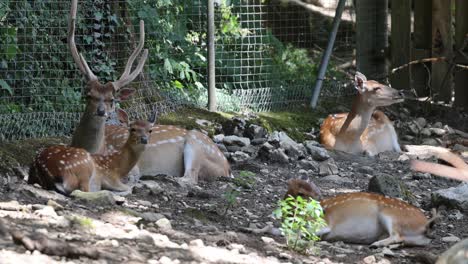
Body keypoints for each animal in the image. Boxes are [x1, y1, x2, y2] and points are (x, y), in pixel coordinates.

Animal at [28, 114, 156, 195]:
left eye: (150, 130)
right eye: (133, 129)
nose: (144, 139)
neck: (117, 167)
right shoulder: (110, 178)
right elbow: (129, 188)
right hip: (83, 167)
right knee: (81, 190)